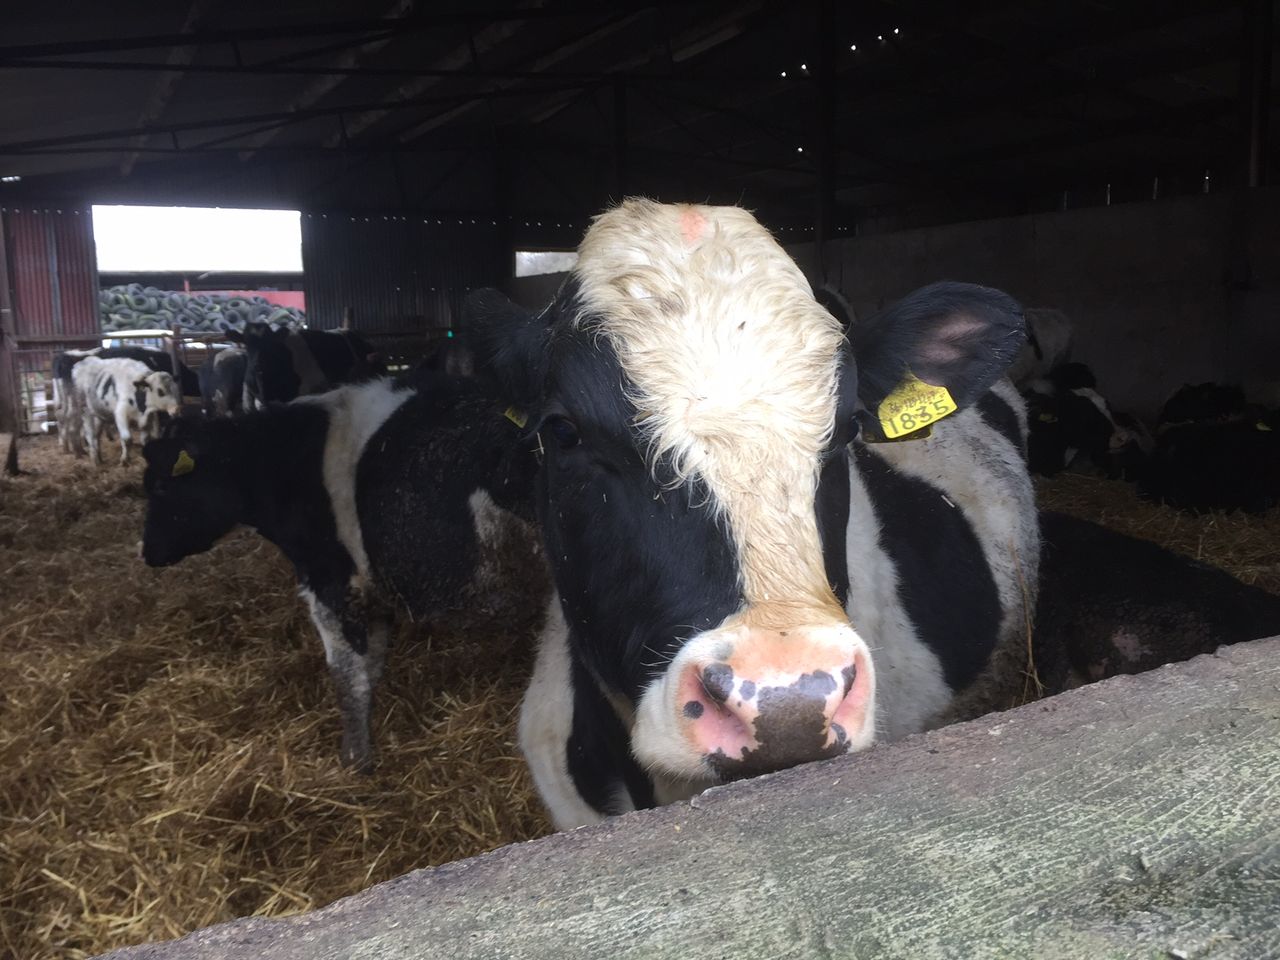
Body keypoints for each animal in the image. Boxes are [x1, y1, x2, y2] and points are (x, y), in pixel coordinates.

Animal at [140, 371, 540, 772]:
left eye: (161, 486)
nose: (147, 553)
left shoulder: (331, 582)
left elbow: (347, 674)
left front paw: (354, 759)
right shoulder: (375, 592)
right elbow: (371, 665)